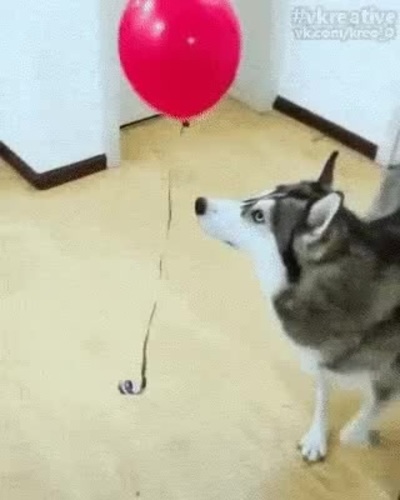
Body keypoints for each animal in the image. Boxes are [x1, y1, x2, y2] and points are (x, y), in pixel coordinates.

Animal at [195, 152, 400, 462]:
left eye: (258, 216)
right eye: (258, 195)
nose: (200, 203)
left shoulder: (388, 377)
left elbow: (364, 416)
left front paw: (358, 434)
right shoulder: (322, 359)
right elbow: (323, 395)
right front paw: (317, 436)